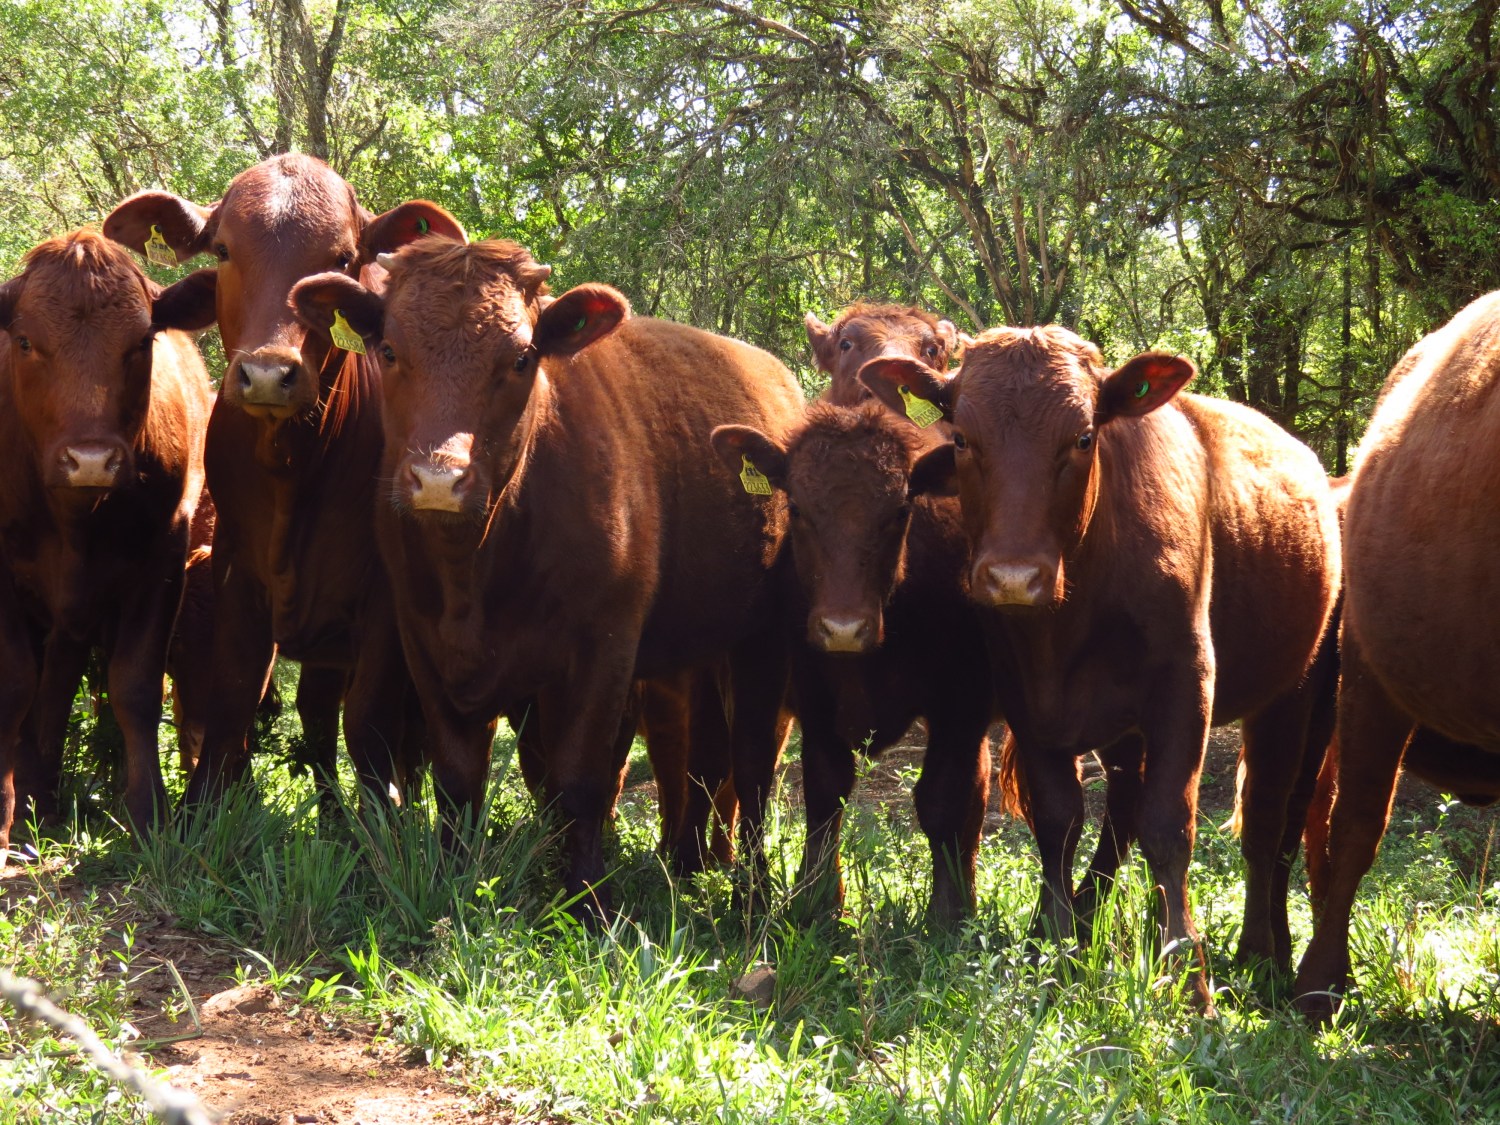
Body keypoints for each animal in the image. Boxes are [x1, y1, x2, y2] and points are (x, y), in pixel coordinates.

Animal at [0, 234, 217, 858]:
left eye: (141, 342)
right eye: (25, 341)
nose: (91, 459)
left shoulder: (164, 560)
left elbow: (135, 686)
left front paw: (148, 813)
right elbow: (14, 685)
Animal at [103, 159, 447, 810]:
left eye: (342, 257)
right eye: (222, 249)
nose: (268, 373)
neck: (291, 469)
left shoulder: (383, 598)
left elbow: (368, 721)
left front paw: (382, 823)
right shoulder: (236, 571)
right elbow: (232, 697)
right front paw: (201, 808)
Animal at [295, 226, 810, 906]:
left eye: (520, 359)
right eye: (388, 349)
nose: (439, 478)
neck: (475, 574)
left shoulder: (604, 649)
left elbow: (581, 777)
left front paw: (585, 897)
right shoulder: (424, 640)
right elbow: (459, 774)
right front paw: (454, 876)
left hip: (763, 641)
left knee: (751, 765)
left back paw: (751, 891)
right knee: (702, 757)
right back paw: (686, 863)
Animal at [864, 328, 1344, 1014]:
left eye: (1084, 437)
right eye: (960, 439)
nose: (1013, 576)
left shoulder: (1185, 688)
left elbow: (1169, 826)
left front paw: (1188, 977)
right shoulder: (1027, 696)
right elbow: (1059, 820)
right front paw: (1055, 944)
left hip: (1299, 695)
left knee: (1272, 819)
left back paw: (1263, 952)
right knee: (1124, 807)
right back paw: (1095, 917)